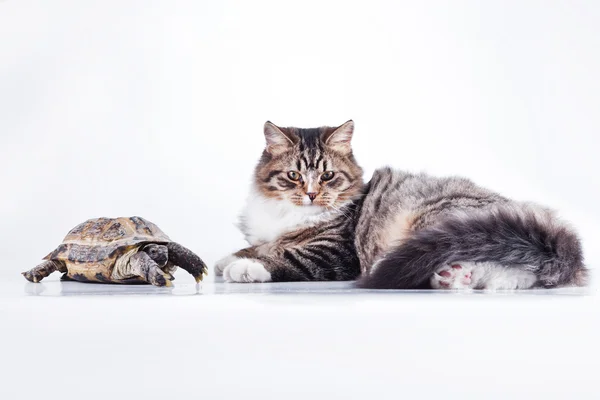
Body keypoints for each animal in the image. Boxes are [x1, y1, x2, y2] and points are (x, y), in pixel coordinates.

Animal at [214, 120, 584, 290]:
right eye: (293, 175)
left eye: (328, 175)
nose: (312, 194)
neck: (288, 214)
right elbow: (260, 246)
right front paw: (227, 259)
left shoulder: (334, 252)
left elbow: (285, 257)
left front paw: (244, 268)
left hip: (436, 221)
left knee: (514, 269)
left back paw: (452, 275)